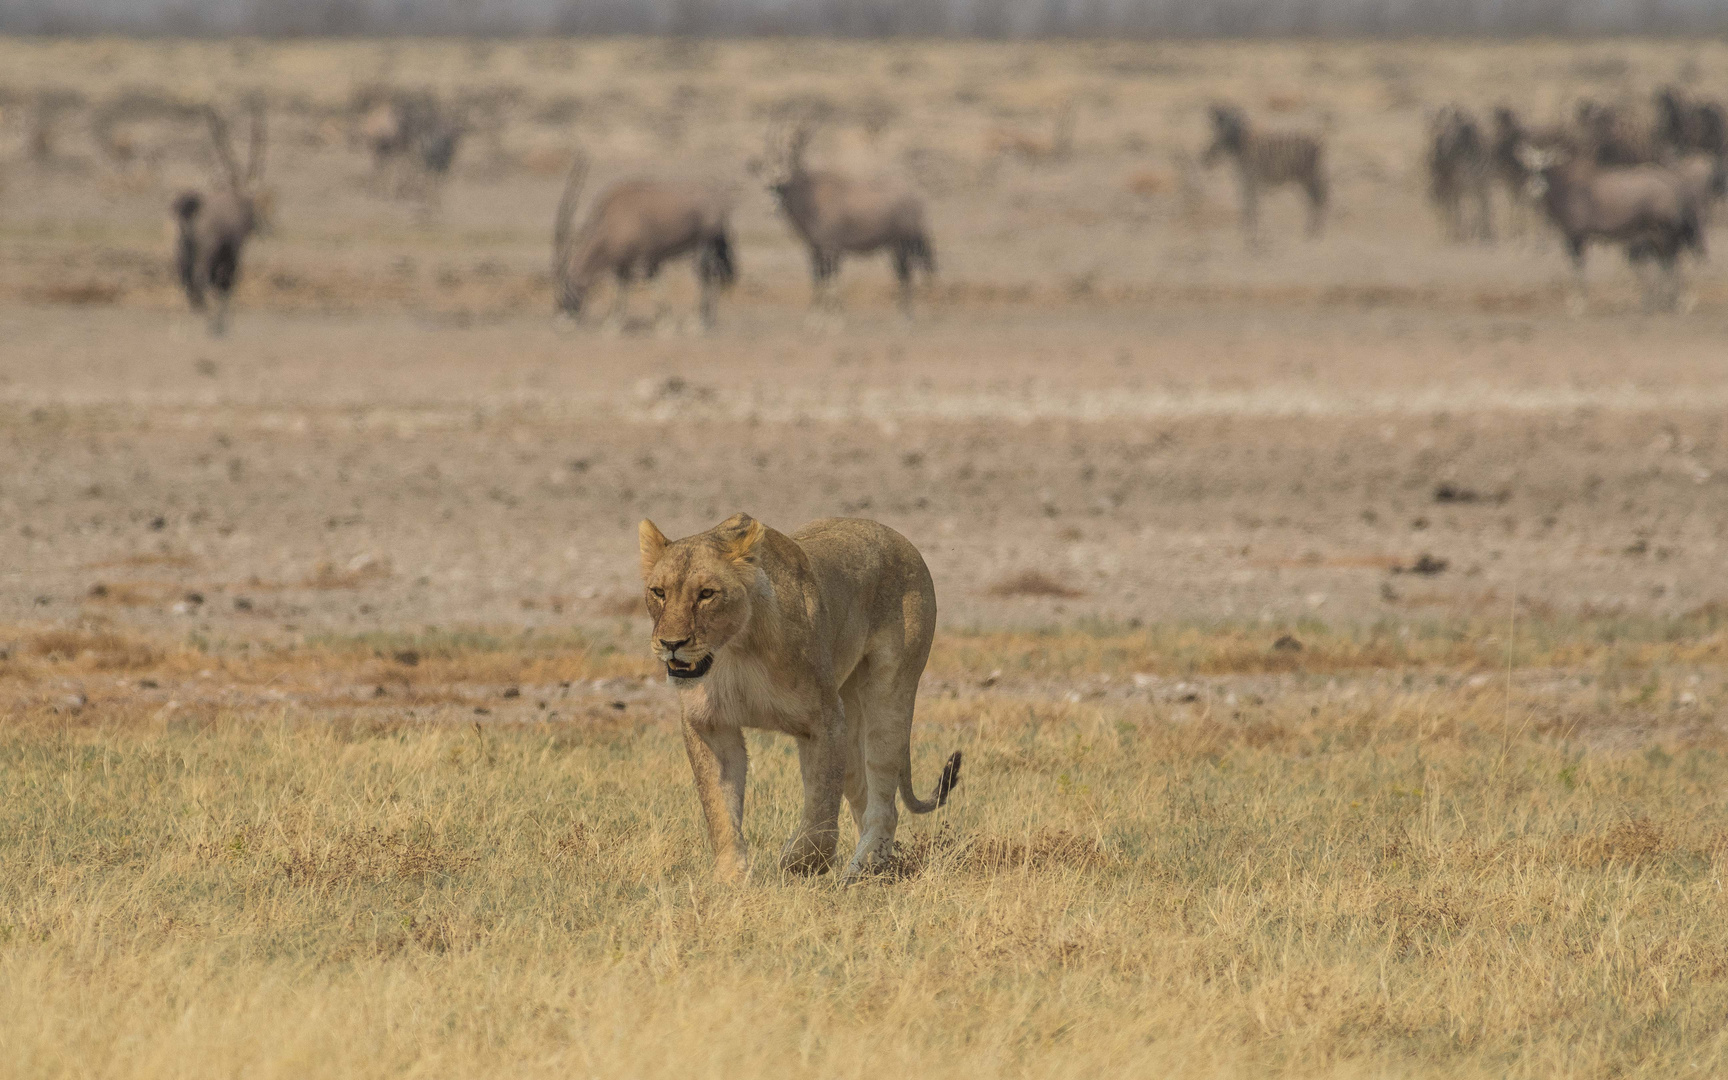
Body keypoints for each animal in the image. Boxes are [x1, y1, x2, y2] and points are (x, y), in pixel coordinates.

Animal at [172, 97, 269, 335]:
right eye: (254, 207)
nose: (260, 228)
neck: (237, 201)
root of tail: (194, 206)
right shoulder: (232, 252)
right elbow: (227, 283)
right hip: (206, 252)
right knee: (199, 279)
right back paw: (212, 319)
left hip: (183, 250)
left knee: (186, 281)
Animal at [552, 148, 736, 328]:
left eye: (566, 289)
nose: (562, 318)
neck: (612, 217)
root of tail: (717, 202)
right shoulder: (627, 262)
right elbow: (625, 285)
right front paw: (614, 320)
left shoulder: (645, 259)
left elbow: (649, 285)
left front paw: (664, 323)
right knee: (713, 274)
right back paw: (707, 319)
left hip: (702, 245)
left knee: (706, 275)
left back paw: (699, 321)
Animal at [763, 124, 940, 316]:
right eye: (772, 157)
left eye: (793, 158)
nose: (775, 183)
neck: (810, 194)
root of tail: (916, 197)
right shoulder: (814, 249)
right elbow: (818, 278)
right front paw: (815, 312)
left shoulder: (831, 248)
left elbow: (831, 278)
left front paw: (834, 313)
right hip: (894, 245)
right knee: (903, 271)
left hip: (906, 242)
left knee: (913, 270)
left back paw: (910, 311)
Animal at [1195, 103, 1327, 247]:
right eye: (1219, 124)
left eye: (1232, 126)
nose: (1205, 158)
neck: (1240, 149)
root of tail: (1319, 143)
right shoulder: (1244, 183)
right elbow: (1247, 206)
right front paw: (1244, 233)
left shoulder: (1251, 181)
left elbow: (1251, 207)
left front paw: (1251, 237)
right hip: (1303, 179)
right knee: (1315, 199)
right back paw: (1312, 230)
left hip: (1308, 176)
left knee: (1319, 198)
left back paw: (1314, 232)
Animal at [1430, 104, 1499, 241]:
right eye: (1432, 129)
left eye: (1450, 129)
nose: (1438, 154)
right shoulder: (1455, 184)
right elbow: (1458, 211)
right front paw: (1458, 234)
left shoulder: (1479, 181)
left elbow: (1482, 207)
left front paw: (1486, 234)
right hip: (1454, 185)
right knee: (1453, 208)